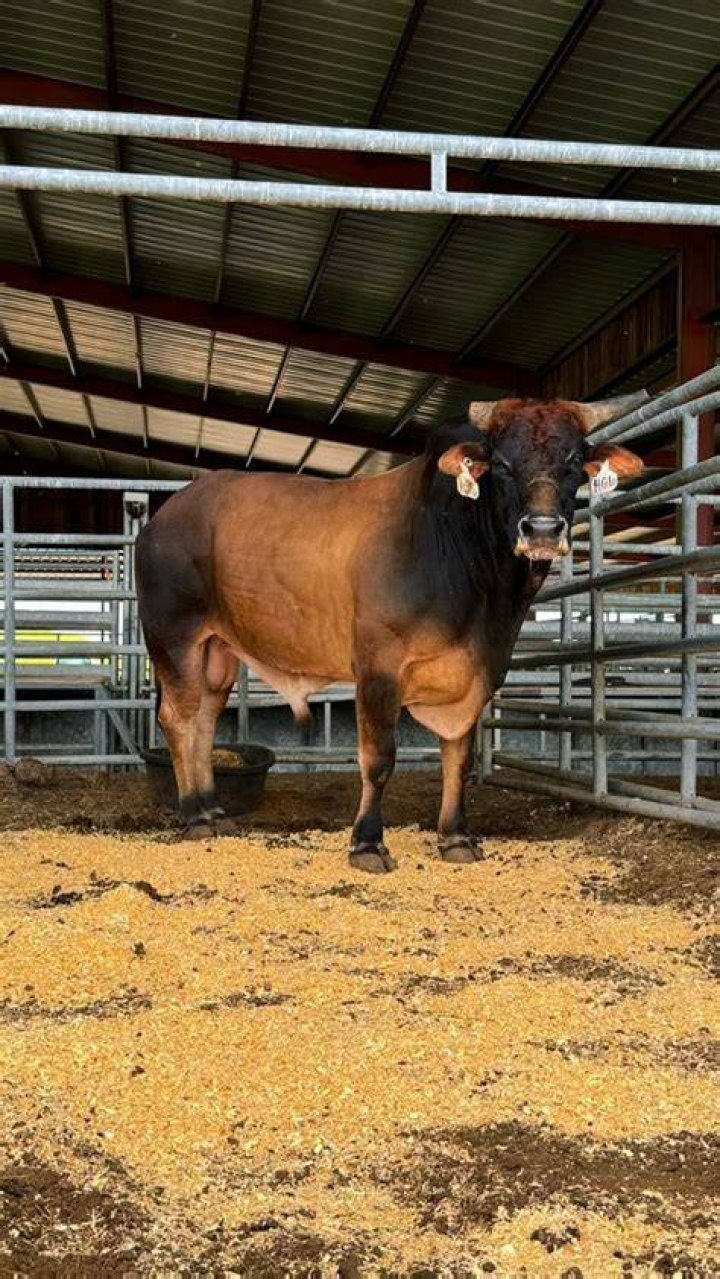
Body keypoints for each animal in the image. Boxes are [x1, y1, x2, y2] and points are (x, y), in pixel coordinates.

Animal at [135, 394, 645, 872]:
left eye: (575, 460)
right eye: (501, 463)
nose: (541, 529)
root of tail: (165, 514)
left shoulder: (472, 678)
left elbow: (457, 758)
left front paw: (456, 838)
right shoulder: (379, 668)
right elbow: (379, 758)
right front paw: (367, 844)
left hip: (216, 650)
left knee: (204, 720)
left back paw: (213, 809)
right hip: (174, 637)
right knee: (178, 720)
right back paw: (194, 816)